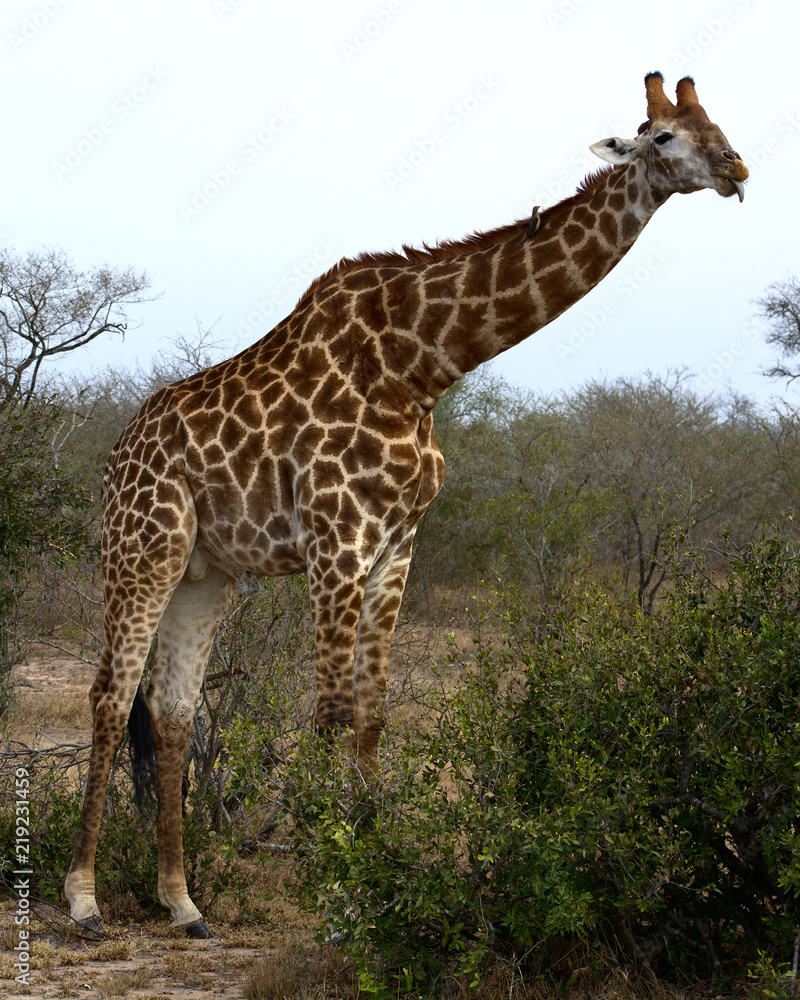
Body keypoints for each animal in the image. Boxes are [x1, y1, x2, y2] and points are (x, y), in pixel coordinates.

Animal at [65, 72, 748, 938]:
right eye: (663, 136)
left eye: (717, 122)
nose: (736, 169)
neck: (424, 364)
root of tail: (117, 452)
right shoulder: (336, 539)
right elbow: (327, 711)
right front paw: (331, 889)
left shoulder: (397, 543)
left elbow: (371, 714)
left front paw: (370, 883)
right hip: (141, 544)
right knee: (111, 695)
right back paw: (84, 898)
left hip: (204, 573)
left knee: (174, 708)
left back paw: (183, 902)